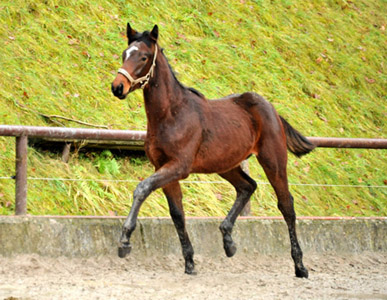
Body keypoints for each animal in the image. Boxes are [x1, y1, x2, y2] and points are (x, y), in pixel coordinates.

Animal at [110, 24, 316, 278]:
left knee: (286, 205)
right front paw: (189, 262)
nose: (118, 87)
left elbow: (142, 188)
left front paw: (124, 241)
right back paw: (228, 241)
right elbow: (177, 213)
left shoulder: (178, 166)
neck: (171, 114)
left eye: (144, 57)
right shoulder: (163, 167)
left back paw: (300, 266)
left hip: (273, 161)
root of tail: (272, 110)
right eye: (124, 54)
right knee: (247, 186)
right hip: (225, 164)